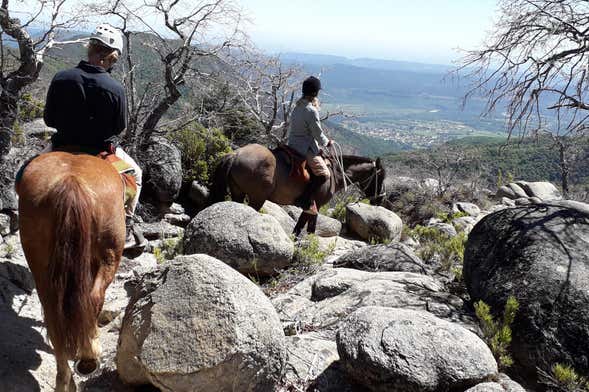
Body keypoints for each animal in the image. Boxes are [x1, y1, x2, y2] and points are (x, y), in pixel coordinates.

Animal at [16, 152, 126, 392]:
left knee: (53, 315)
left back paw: (65, 379)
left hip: (39, 262)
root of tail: (71, 182)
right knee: (93, 299)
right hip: (110, 254)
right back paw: (87, 358)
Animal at [208, 142, 386, 217]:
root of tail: (235, 154)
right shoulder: (316, 205)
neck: (334, 172)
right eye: (381, 176)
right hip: (257, 198)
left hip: (238, 193)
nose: (380, 199)